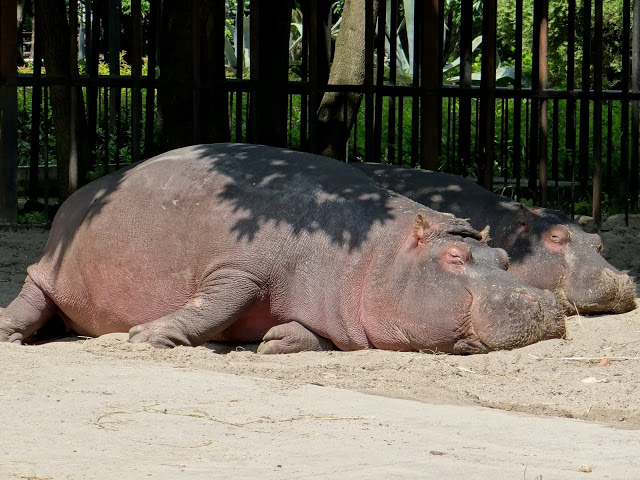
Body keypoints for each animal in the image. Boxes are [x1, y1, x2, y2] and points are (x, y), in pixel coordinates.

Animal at [0, 144, 565, 354]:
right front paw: (147, 335)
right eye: (454, 258)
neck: (373, 254)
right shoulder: (237, 268)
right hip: (46, 269)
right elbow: (209, 306)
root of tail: (83, 192)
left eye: (506, 259)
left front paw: (275, 340)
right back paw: (9, 332)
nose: (545, 302)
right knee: (32, 297)